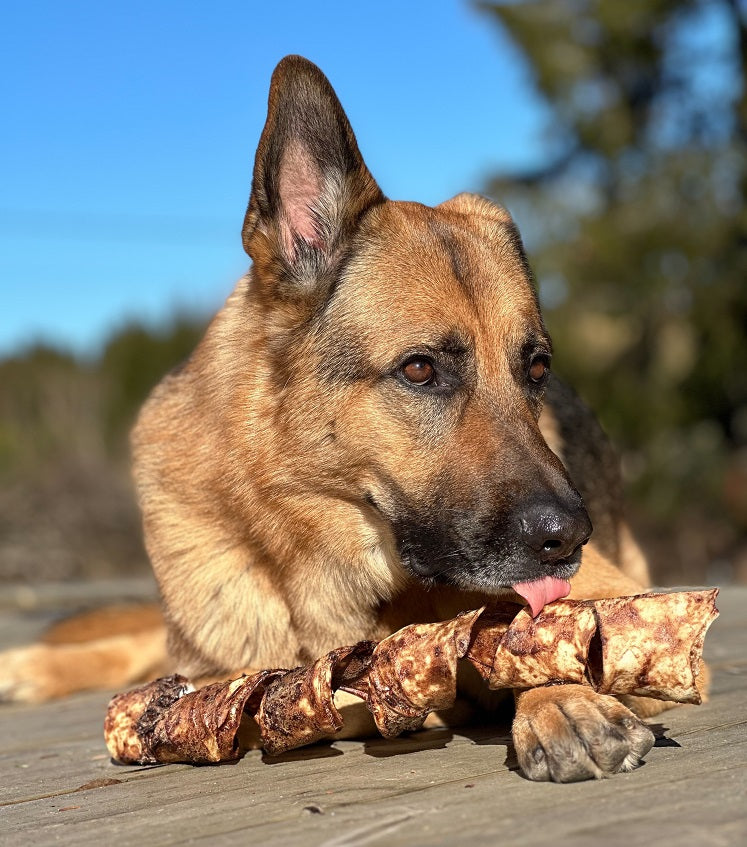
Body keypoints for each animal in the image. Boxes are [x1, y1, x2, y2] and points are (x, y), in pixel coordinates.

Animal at [0, 54, 680, 780]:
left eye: (537, 369)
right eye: (419, 369)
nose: (570, 537)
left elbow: (542, 631)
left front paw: (560, 699)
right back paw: (30, 665)